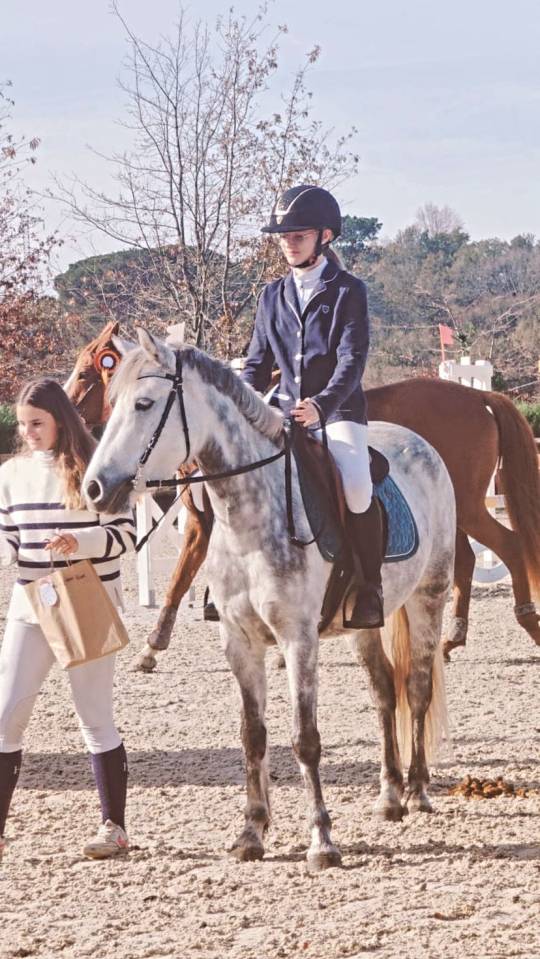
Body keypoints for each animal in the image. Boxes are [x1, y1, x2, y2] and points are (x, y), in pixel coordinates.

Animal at [65, 324, 540, 668]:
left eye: (89, 373)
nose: (96, 486)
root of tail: (479, 394)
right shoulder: (207, 525)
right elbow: (181, 580)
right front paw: (155, 645)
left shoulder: (206, 524)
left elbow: (180, 580)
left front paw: (153, 647)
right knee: (469, 558)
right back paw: (453, 638)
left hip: (467, 506)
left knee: (508, 545)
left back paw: (520, 619)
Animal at [83, 329, 455, 870]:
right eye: (111, 403)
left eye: (144, 404)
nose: (95, 489)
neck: (249, 519)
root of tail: (420, 442)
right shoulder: (239, 642)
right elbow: (253, 735)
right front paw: (252, 833)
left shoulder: (298, 639)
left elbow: (305, 739)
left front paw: (322, 840)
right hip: (365, 623)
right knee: (385, 692)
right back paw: (389, 797)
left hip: (428, 597)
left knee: (418, 688)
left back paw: (418, 789)